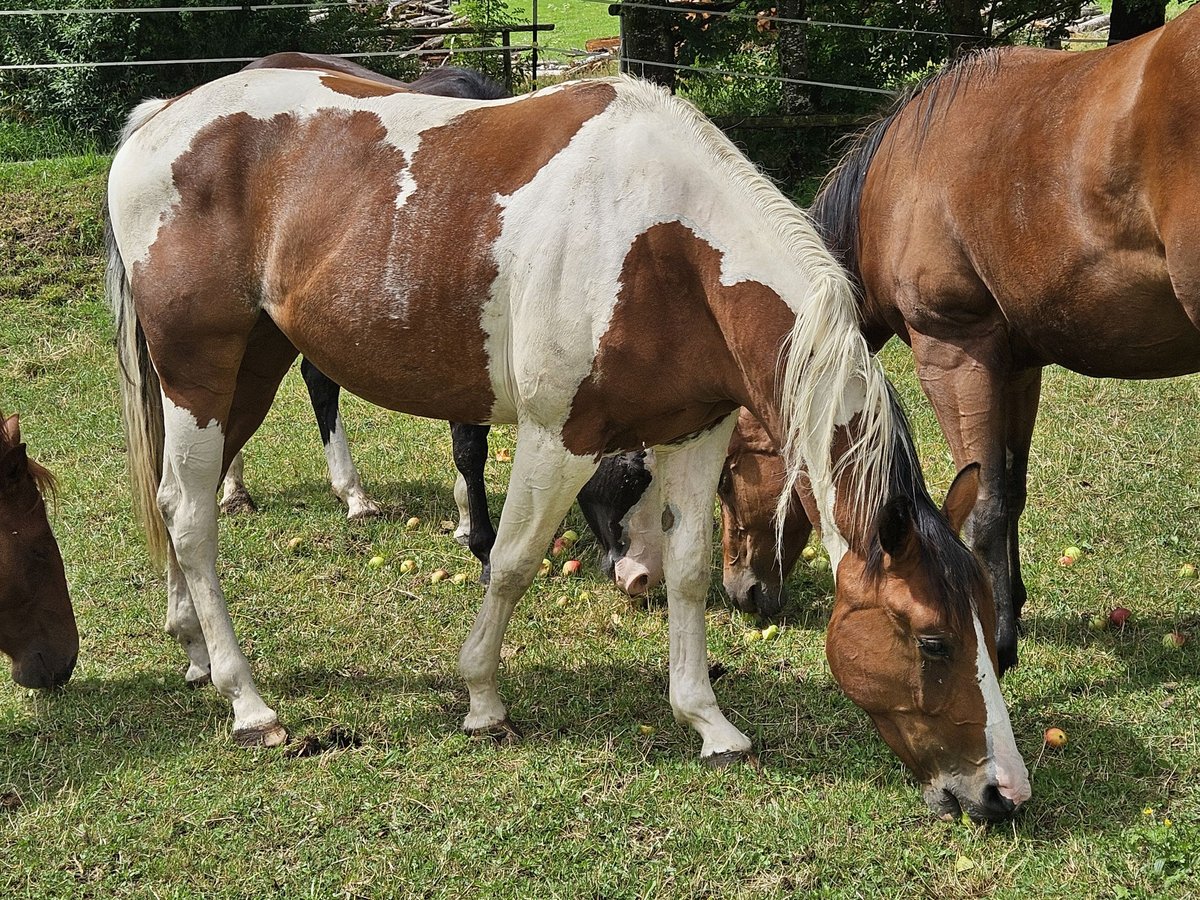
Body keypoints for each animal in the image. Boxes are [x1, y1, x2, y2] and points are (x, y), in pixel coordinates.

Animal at [218, 55, 665, 594]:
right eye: (631, 475)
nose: (640, 578)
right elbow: (470, 448)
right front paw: (482, 545)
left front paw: (464, 519)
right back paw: (240, 491)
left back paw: (352, 496)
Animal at [721, 8, 1200, 676]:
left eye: (728, 474)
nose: (737, 590)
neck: (894, 183)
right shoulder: (1018, 367)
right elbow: (1012, 491)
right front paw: (1008, 606)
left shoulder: (952, 353)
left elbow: (987, 503)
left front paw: (996, 640)